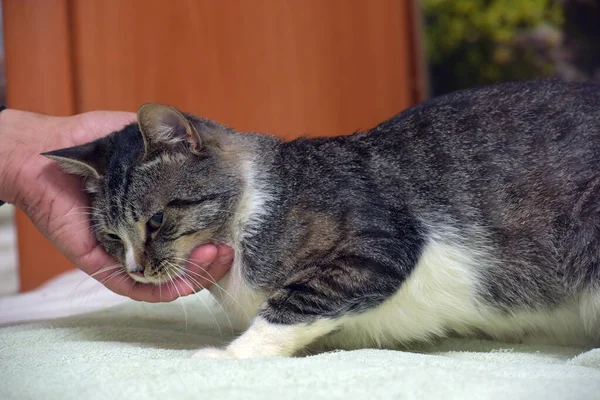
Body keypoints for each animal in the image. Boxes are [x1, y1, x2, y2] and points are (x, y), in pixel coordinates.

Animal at [44, 79, 600, 360]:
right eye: (111, 236)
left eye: (156, 220)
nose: (135, 269)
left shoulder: (377, 244)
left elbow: (291, 306)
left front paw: (227, 357)